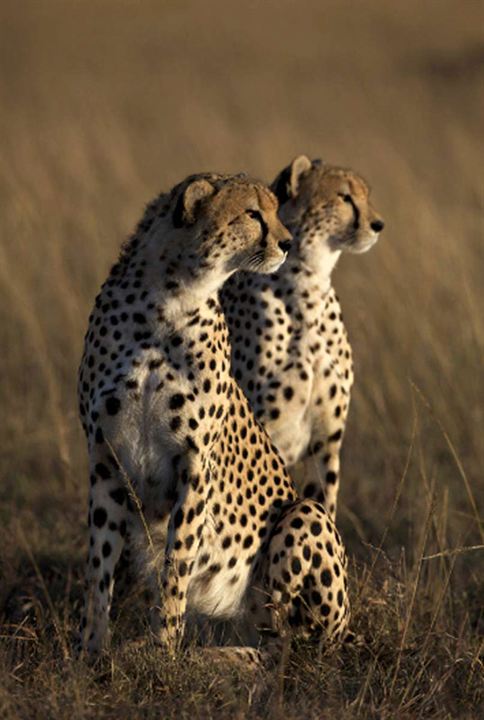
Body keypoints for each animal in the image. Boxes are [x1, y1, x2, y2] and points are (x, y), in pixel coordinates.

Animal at [78, 170, 352, 660]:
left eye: (277, 209)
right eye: (252, 213)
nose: (287, 243)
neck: (168, 301)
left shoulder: (194, 464)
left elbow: (177, 565)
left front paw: (164, 656)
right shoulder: (105, 458)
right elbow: (99, 567)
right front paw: (90, 653)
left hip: (305, 515)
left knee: (288, 649)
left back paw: (221, 659)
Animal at [221, 156, 384, 516]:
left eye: (366, 195)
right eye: (344, 197)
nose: (378, 224)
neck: (308, 286)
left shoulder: (326, 443)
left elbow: (323, 501)